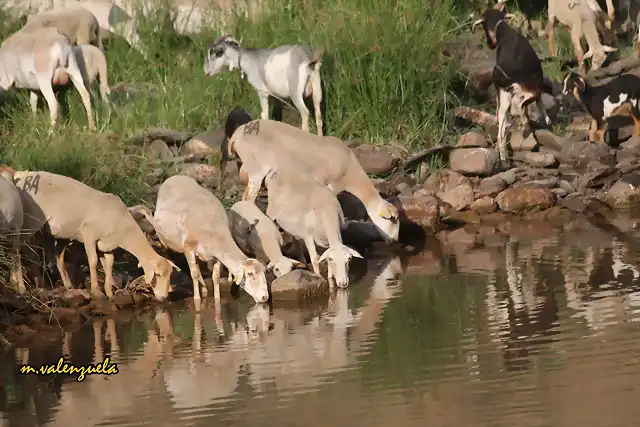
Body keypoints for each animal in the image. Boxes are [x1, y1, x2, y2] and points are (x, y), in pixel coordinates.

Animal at [13, 171, 178, 300]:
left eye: (170, 276)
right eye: (158, 275)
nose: (164, 297)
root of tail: (21, 179)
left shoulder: (107, 246)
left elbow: (109, 265)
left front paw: (110, 293)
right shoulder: (89, 235)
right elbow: (92, 262)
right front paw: (96, 292)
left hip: (51, 232)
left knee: (50, 256)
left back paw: (62, 285)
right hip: (30, 221)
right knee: (20, 249)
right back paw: (21, 284)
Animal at [148, 176, 270, 304]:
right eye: (250, 274)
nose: (265, 297)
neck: (215, 231)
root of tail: (174, 177)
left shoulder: (216, 256)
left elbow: (215, 277)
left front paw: (217, 299)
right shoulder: (188, 247)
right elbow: (194, 274)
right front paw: (197, 299)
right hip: (165, 240)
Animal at [470, 0, 556, 167]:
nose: (490, 44)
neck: (504, 32)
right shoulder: (535, 84)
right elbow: (539, 102)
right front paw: (547, 120)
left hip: (503, 99)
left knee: (501, 131)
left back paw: (504, 158)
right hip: (520, 90)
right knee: (521, 106)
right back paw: (524, 127)